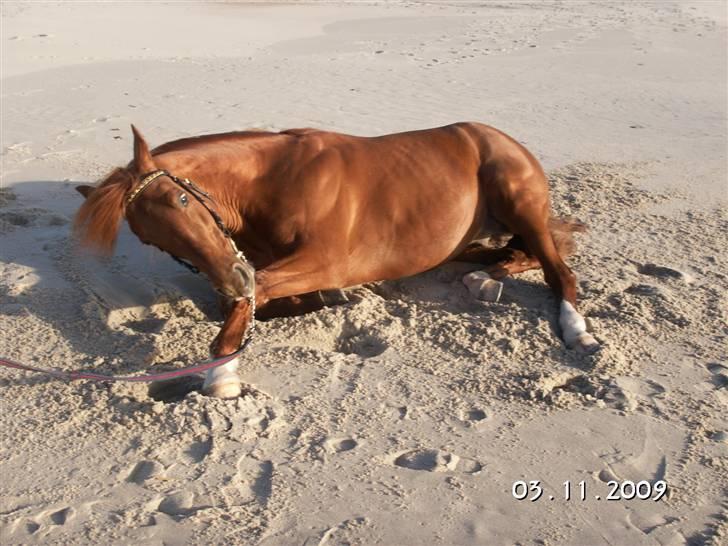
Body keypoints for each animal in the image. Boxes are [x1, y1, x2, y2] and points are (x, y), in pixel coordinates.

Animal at [72, 122, 596, 396]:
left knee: (558, 268)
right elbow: (254, 301)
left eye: (182, 200)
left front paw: (222, 373)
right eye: (152, 241)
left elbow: (253, 297)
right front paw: (326, 300)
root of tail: (502, 138)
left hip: (519, 201)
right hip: (460, 239)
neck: (273, 181)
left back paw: (575, 328)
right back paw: (486, 278)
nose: (232, 277)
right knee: (517, 252)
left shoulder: (325, 260)